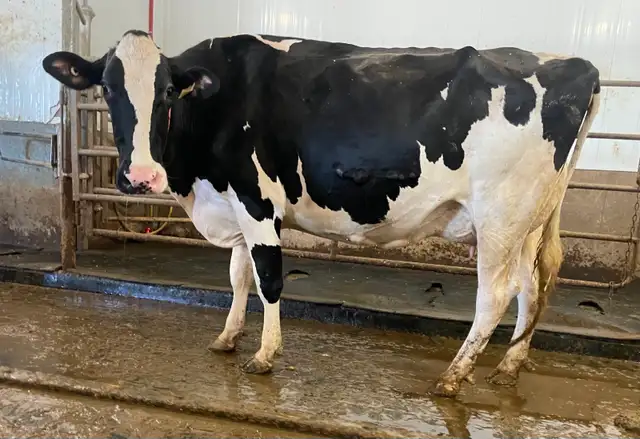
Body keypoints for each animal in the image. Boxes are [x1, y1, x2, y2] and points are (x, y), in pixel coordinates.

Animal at [42, 30, 600, 397]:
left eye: (165, 93)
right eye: (108, 89)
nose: (140, 177)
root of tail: (576, 65)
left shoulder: (257, 201)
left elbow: (268, 279)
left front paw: (265, 354)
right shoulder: (235, 205)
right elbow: (238, 275)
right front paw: (227, 338)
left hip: (500, 216)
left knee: (495, 295)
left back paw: (454, 376)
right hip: (530, 220)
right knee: (532, 285)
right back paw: (508, 367)